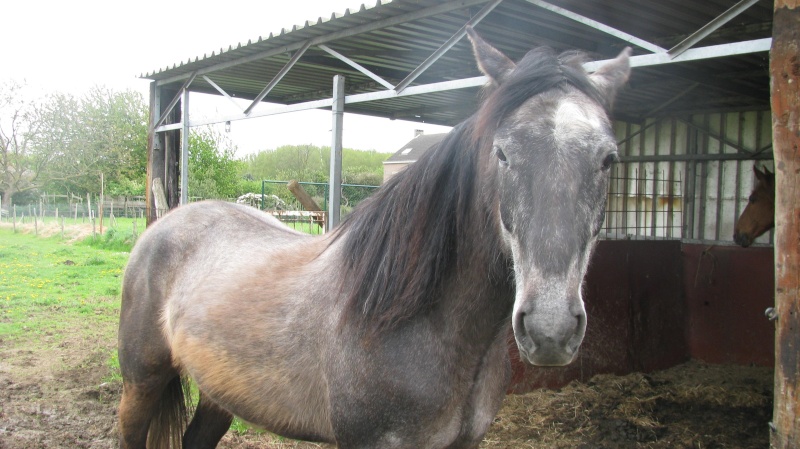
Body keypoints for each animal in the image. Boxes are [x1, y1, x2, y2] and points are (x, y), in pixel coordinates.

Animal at [119, 28, 632, 448]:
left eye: (608, 159)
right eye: (502, 153)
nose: (550, 330)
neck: (411, 318)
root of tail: (165, 224)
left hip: (219, 392)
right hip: (141, 382)